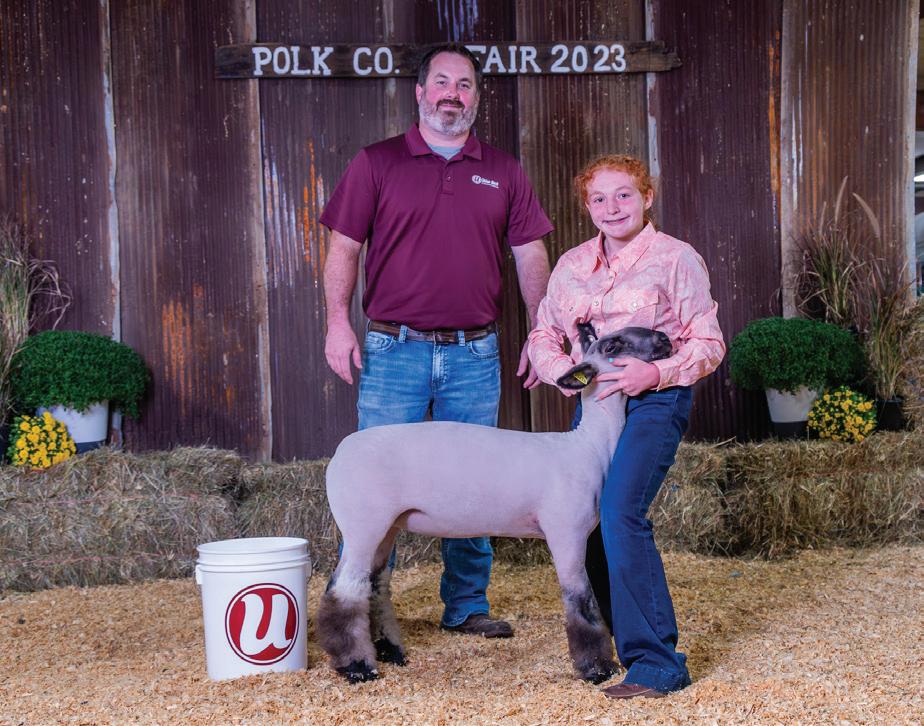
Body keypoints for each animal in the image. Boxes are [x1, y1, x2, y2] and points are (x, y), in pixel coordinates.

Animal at [316, 324, 673, 684]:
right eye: (613, 345)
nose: (665, 340)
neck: (588, 447)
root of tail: (340, 452)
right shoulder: (566, 532)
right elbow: (581, 601)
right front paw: (596, 668)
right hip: (363, 525)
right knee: (344, 590)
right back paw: (357, 666)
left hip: (386, 527)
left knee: (374, 585)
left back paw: (390, 652)